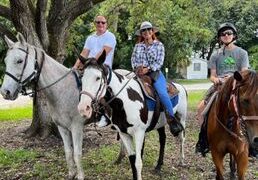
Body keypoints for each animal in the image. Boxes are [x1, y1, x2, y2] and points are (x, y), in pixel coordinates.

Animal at [0, 33, 87, 179]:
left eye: (19, 61)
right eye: (6, 61)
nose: (5, 92)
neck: (64, 89)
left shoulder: (77, 127)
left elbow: (77, 153)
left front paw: (80, 176)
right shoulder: (62, 128)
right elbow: (68, 151)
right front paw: (71, 174)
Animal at [77, 51, 187, 179]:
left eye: (98, 77)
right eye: (81, 77)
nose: (83, 108)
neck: (124, 102)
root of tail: (180, 87)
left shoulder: (139, 133)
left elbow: (138, 162)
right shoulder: (124, 133)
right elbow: (132, 160)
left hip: (181, 118)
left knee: (181, 138)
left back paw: (181, 160)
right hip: (160, 123)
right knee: (163, 139)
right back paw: (158, 166)